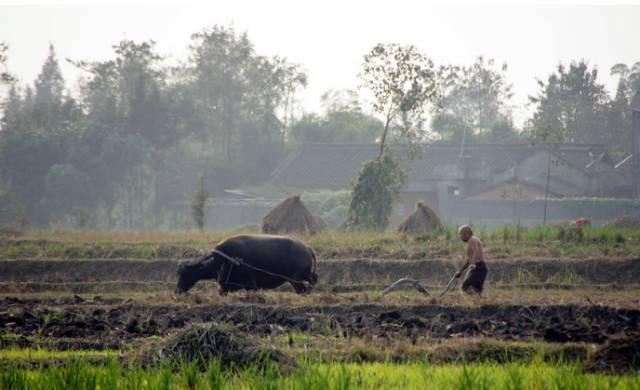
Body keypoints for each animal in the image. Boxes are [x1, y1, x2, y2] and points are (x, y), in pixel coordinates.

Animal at [175, 235, 318, 296]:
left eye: (187, 273)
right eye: (178, 273)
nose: (178, 291)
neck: (225, 259)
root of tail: (307, 248)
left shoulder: (251, 285)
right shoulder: (225, 287)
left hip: (297, 279)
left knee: (306, 286)